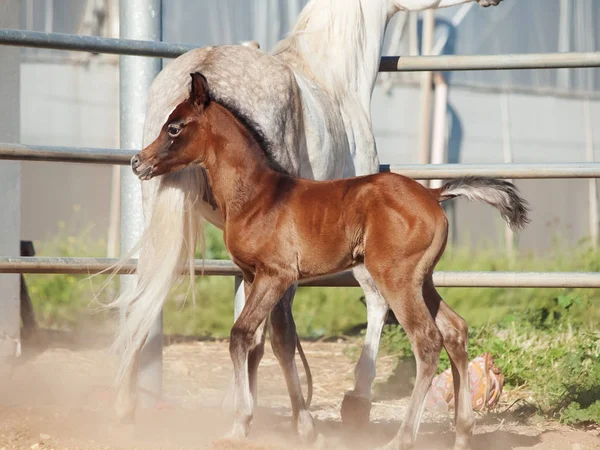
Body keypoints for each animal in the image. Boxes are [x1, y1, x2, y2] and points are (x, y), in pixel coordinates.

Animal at [111, 0, 502, 446]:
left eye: (174, 127)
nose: (138, 161)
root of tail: (433, 195)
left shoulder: (278, 274)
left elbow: (250, 335)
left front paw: (249, 421)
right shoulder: (257, 275)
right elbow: (255, 336)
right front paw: (253, 418)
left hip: (399, 278)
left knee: (426, 339)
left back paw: (399, 435)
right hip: (421, 280)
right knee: (452, 330)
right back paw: (460, 431)